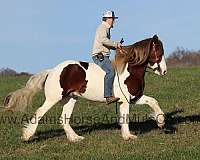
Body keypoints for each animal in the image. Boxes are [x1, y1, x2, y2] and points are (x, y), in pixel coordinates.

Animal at [4, 34, 167, 141]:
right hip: (53, 98)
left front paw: (160, 121)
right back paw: (27, 136)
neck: (129, 70)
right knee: (39, 112)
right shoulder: (126, 100)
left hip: (70, 98)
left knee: (64, 119)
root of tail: (52, 71)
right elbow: (125, 117)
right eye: (159, 51)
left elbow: (153, 101)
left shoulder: (134, 98)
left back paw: (75, 138)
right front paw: (128, 136)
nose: (164, 71)